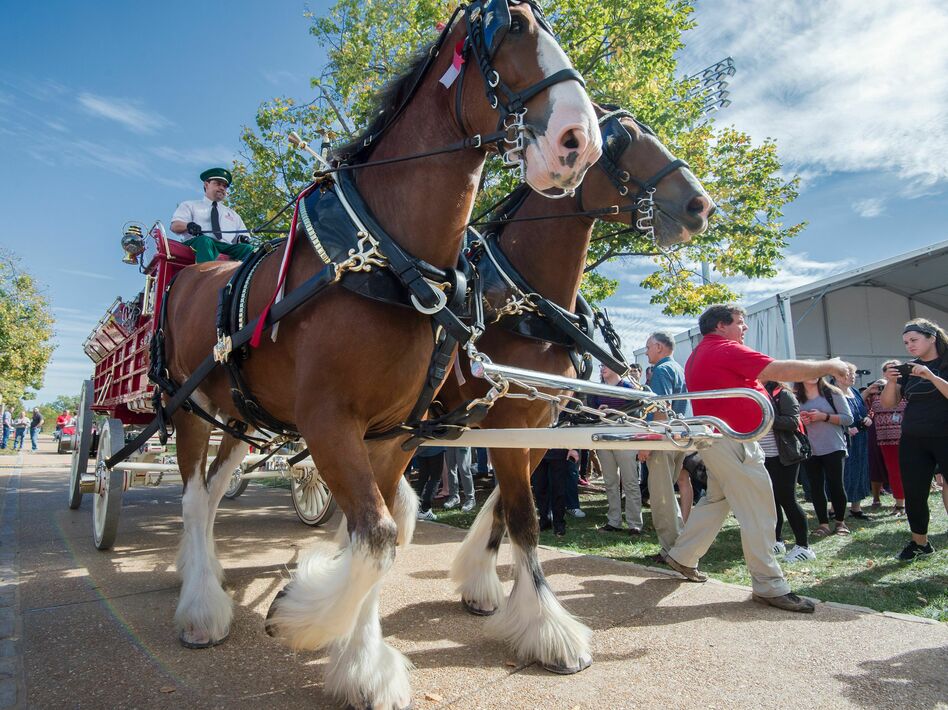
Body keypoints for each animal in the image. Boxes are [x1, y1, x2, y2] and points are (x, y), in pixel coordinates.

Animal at [159, 2, 596, 708]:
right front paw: (303, 616)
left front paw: (359, 661)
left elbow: (382, 537)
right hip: (187, 404)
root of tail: (194, 268)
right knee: (196, 500)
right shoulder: (329, 422)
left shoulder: (394, 434)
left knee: (216, 489)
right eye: (511, 28)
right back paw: (202, 607)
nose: (579, 139)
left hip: (239, 412)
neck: (391, 259)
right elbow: (380, 539)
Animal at [436, 105, 712, 672]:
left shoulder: (538, 430)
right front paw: (550, 632)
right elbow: (524, 519)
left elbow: (505, 509)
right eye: (621, 138)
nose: (701, 206)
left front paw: (480, 585)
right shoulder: (507, 425)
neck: (523, 307)